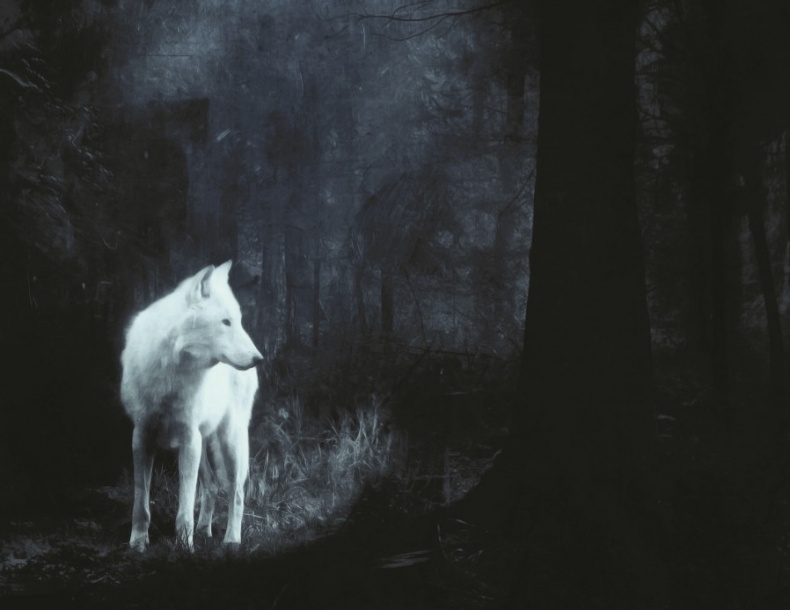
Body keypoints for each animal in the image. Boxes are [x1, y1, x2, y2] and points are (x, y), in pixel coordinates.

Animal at [120, 261, 263, 552]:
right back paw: (205, 530)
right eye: (226, 322)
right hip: (204, 442)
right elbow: (141, 503)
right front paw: (138, 544)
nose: (258, 358)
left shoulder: (188, 439)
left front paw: (185, 548)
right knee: (212, 486)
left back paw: (232, 540)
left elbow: (184, 510)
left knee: (237, 491)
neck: (172, 370)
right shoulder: (142, 437)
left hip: (229, 441)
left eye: (238, 321)